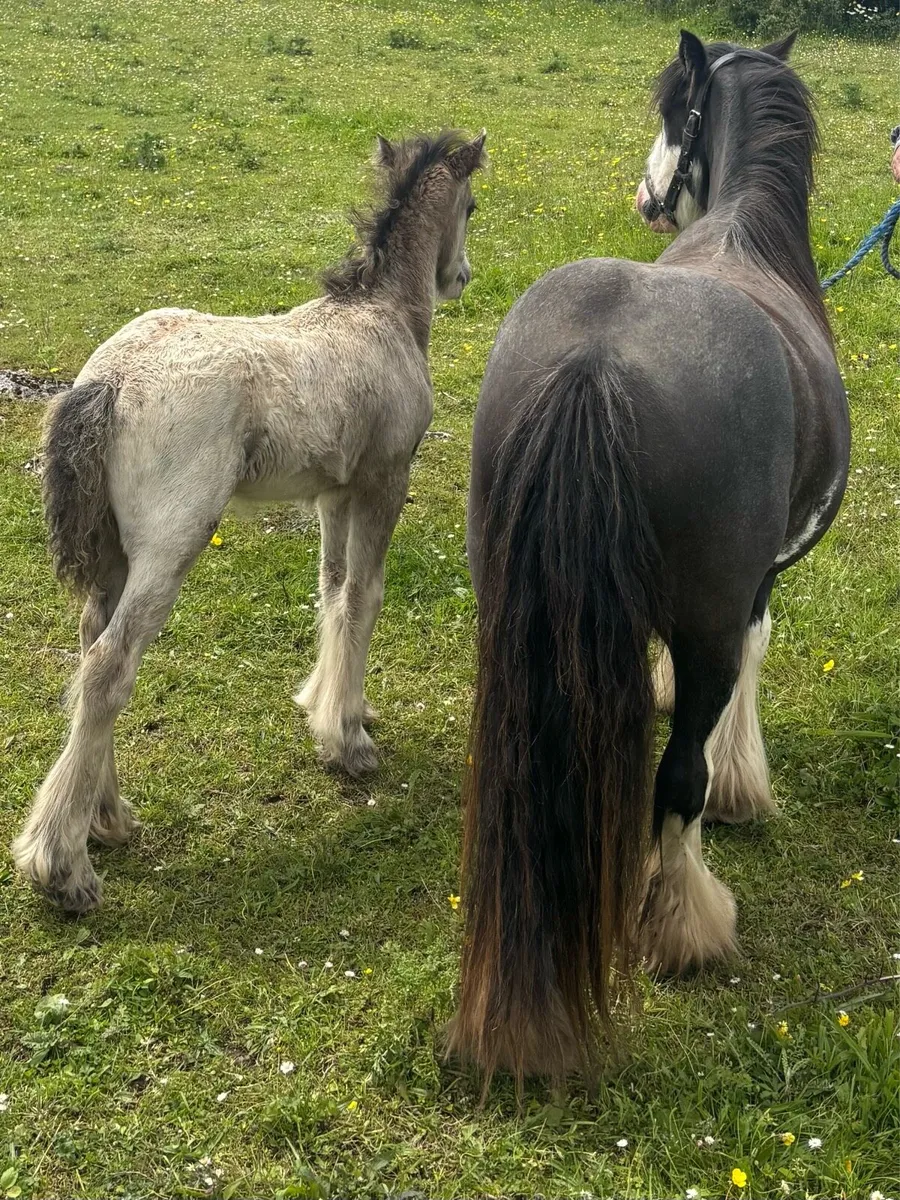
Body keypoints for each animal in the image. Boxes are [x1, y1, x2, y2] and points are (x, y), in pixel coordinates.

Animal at [13, 129, 487, 914]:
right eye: (472, 207)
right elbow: (365, 596)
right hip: (173, 542)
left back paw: (108, 817)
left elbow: (331, 592)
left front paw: (333, 710)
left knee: (88, 647)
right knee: (111, 664)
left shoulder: (333, 495)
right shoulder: (385, 482)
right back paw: (64, 866)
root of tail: (108, 379)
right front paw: (350, 743)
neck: (381, 316)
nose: (462, 277)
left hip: (113, 554)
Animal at [448, 32, 850, 1085]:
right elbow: (747, 672)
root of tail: (595, 363)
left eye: (674, 114)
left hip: (509, 618)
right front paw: (744, 779)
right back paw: (687, 926)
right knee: (675, 782)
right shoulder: (751, 589)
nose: (644, 195)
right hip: (703, 620)